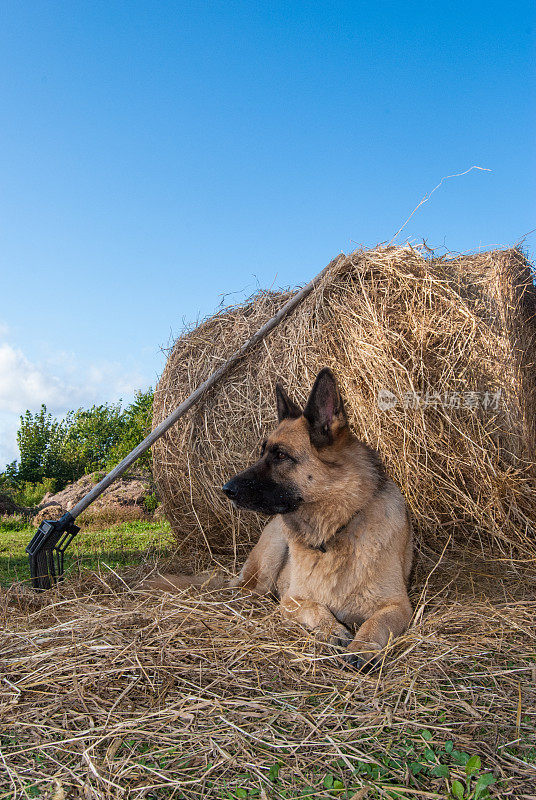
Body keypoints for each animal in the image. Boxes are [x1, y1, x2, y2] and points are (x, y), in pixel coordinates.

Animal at [151, 370, 414, 668]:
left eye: (280, 455)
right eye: (262, 452)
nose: (226, 489)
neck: (336, 528)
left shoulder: (399, 606)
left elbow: (375, 624)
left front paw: (362, 646)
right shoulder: (292, 600)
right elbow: (315, 608)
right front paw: (333, 630)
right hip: (273, 548)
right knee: (247, 589)